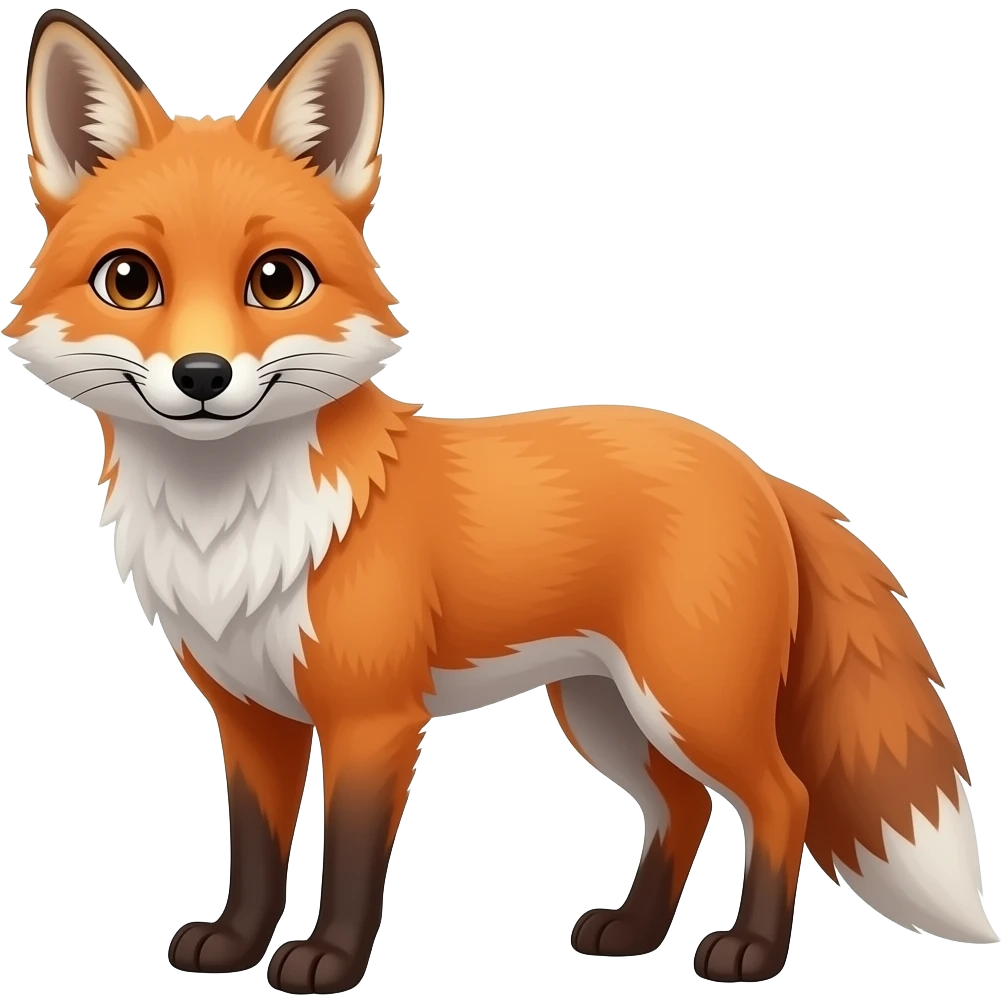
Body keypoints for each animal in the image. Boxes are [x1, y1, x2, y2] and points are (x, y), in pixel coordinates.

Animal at [7, 8, 997, 994]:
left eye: (276, 280)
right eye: (129, 280)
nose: (202, 376)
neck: (230, 528)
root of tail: (754, 467)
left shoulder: (374, 718)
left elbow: (353, 857)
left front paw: (328, 960)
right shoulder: (251, 716)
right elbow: (253, 850)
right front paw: (234, 943)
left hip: (688, 701)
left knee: (781, 796)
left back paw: (749, 950)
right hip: (605, 710)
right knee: (681, 806)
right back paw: (632, 931)